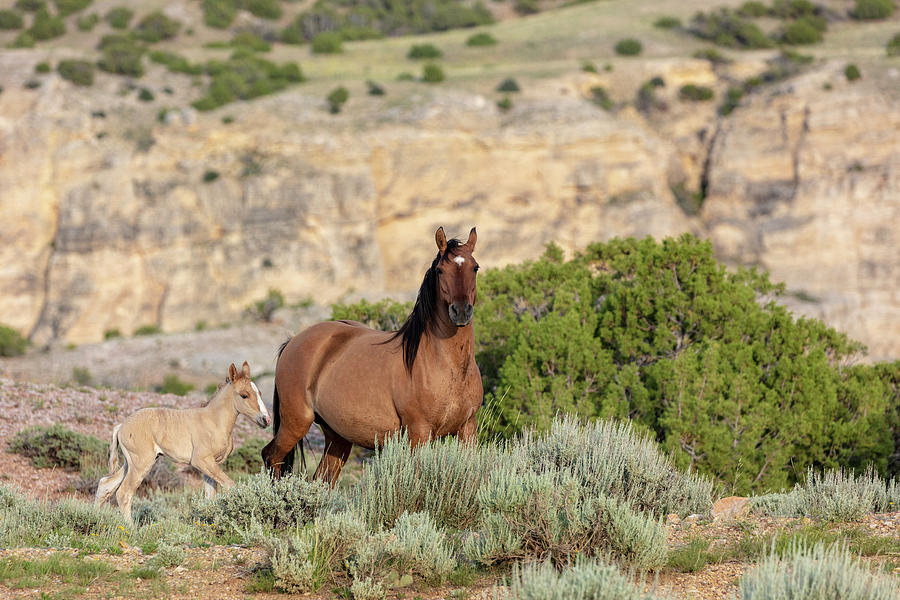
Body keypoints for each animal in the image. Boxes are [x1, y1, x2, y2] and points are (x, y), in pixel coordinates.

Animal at [97, 360, 270, 520]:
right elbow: (230, 485)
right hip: (141, 463)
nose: (266, 420)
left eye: (260, 393)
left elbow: (210, 497)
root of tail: (121, 426)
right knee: (124, 493)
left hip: (131, 463)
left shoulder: (211, 465)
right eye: (244, 395)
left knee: (105, 485)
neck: (214, 421)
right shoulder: (201, 461)